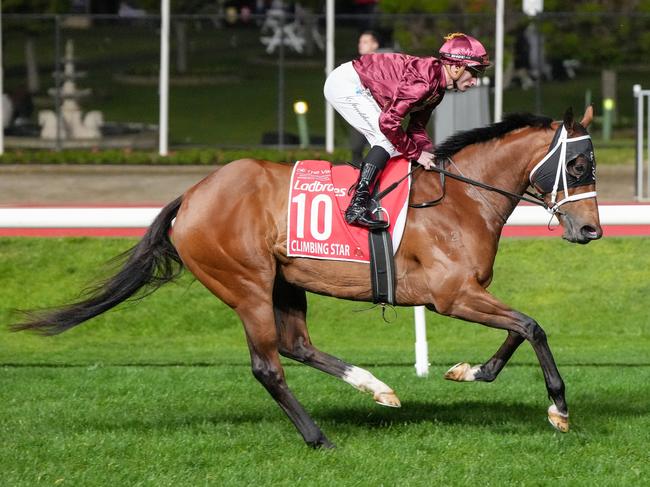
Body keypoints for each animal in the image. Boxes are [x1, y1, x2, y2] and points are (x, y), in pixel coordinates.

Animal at [10, 107, 600, 450]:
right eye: (577, 167)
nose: (592, 228)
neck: (461, 199)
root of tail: (192, 197)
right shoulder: (451, 295)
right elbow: (531, 326)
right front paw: (559, 408)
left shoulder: (466, 294)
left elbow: (520, 328)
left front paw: (470, 372)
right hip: (245, 284)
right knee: (268, 365)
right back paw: (318, 437)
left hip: (284, 282)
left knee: (296, 345)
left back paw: (377, 388)